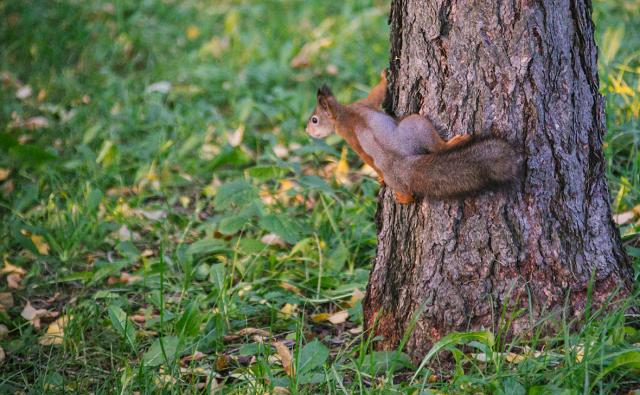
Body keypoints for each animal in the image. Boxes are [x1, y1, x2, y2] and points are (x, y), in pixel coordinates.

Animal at [304, 70, 520, 204]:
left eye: (314, 119)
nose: (307, 132)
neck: (342, 114)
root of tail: (403, 166)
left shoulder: (361, 106)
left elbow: (377, 93)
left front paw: (383, 75)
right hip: (416, 124)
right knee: (437, 150)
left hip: (414, 126)